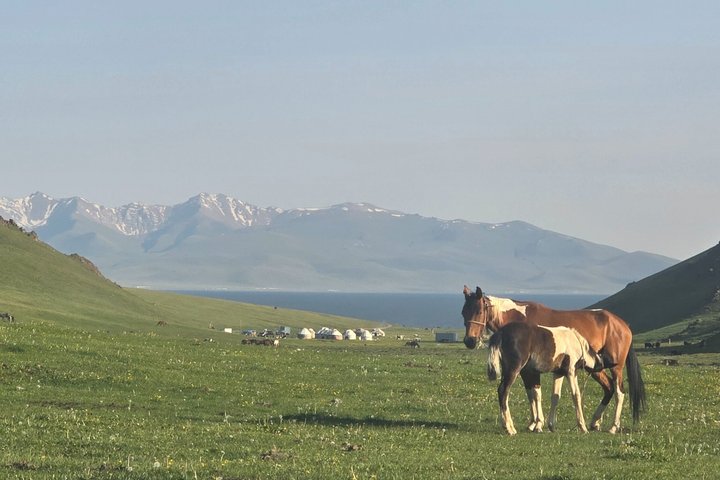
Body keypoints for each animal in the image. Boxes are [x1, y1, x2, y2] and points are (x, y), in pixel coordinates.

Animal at [462, 286, 646, 434]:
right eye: (463, 312)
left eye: (479, 311)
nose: (469, 341)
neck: (519, 318)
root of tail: (623, 325)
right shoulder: (528, 370)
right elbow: (533, 394)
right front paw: (535, 423)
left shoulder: (532, 370)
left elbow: (536, 394)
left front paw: (538, 424)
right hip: (595, 368)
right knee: (608, 388)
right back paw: (595, 422)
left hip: (615, 367)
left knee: (619, 392)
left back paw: (613, 426)